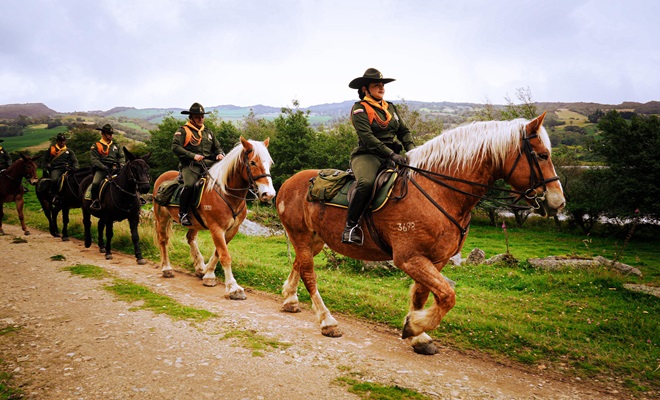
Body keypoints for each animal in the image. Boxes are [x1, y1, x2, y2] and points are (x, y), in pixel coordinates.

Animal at [152, 136, 275, 299]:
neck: (226, 193)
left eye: (270, 163)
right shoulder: (217, 228)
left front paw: (208, 274)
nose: (269, 194)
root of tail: (162, 177)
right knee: (163, 240)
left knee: (190, 238)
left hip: (194, 223)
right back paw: (167, 269)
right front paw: (233, 287)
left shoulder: (232, 230)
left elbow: (218, 252)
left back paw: (199, 267)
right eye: (253, 162)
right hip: (162, 217)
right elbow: (224, 255)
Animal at [276, 113, 566, 355]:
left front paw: (419, 336)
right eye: (542, 155)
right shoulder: (410, 258)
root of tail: (290, 182)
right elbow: (447, 296)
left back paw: (290, 299)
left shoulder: (435, 259)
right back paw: (327, 321)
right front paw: (415, 325)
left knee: (299, 263)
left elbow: (423, 295)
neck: (440, 190)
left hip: (314, 240)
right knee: (309, 274)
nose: (558, 202)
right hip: (301, 235)